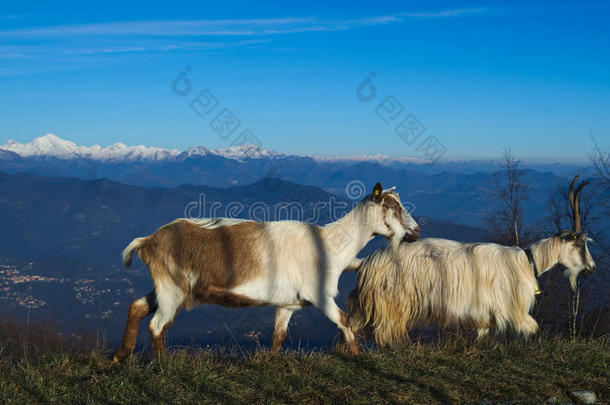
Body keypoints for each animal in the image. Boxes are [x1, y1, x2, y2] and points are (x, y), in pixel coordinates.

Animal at [113, 181, 418, 358]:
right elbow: (344, 320)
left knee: (137, 307)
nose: (415, 231)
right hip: (172, 289)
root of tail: (149, 240)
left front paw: (270, 362)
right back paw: (162, 364)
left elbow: (278, 337)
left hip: (165, 286)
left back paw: (121, 356)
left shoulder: (287, 304)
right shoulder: (320, 295)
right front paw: (358, 355)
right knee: (157, 325)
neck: (330, 245)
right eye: (391, 206)